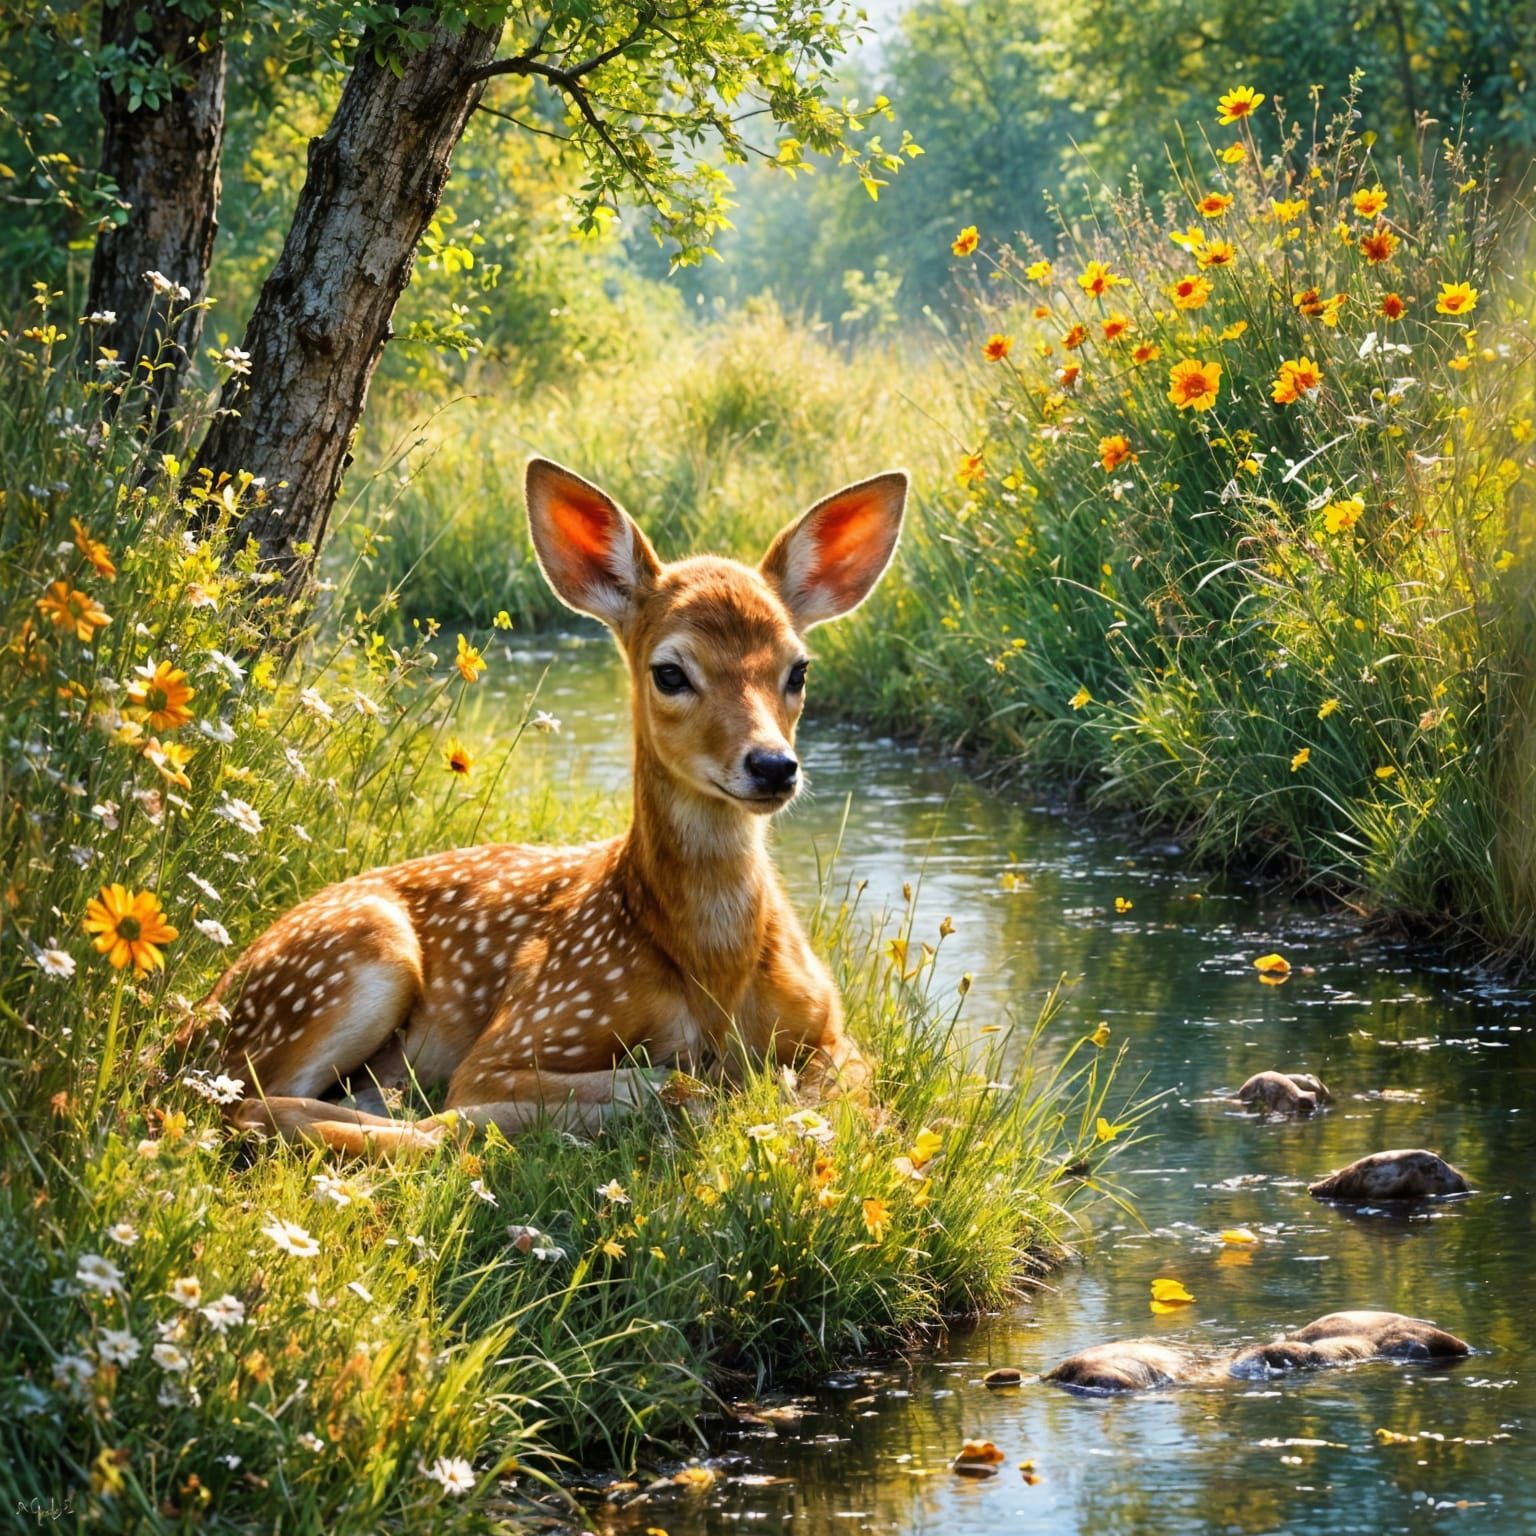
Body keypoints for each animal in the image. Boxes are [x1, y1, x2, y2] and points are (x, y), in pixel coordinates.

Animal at [211, 457, 907, 1155]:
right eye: (670, 672)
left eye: (799, 669)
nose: (772, 766)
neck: (713, 972)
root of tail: (197, 1017)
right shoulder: (534, 1023)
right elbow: (674, 1086)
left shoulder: (832, 1028)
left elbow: (850, 1093)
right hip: (350, 959)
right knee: (243, 1103)